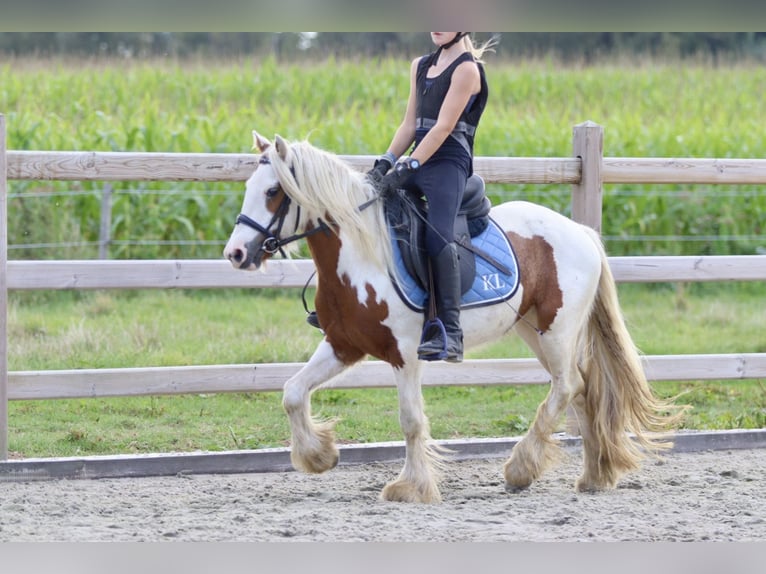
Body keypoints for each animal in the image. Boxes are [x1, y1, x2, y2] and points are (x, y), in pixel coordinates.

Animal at [224, 130, 688, 504]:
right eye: (249, 187)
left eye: (272, 191)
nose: (236, 254)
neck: (361, 256)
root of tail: (583, 233)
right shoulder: (342, 346)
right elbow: (292, 392)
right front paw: (319, 456)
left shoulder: (406, 355)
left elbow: (411, 421)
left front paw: (410, 488)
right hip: (533, 329)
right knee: (583, 388)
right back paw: (594, 476)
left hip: (556, 330)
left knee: (568, 385)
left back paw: (521, 469)